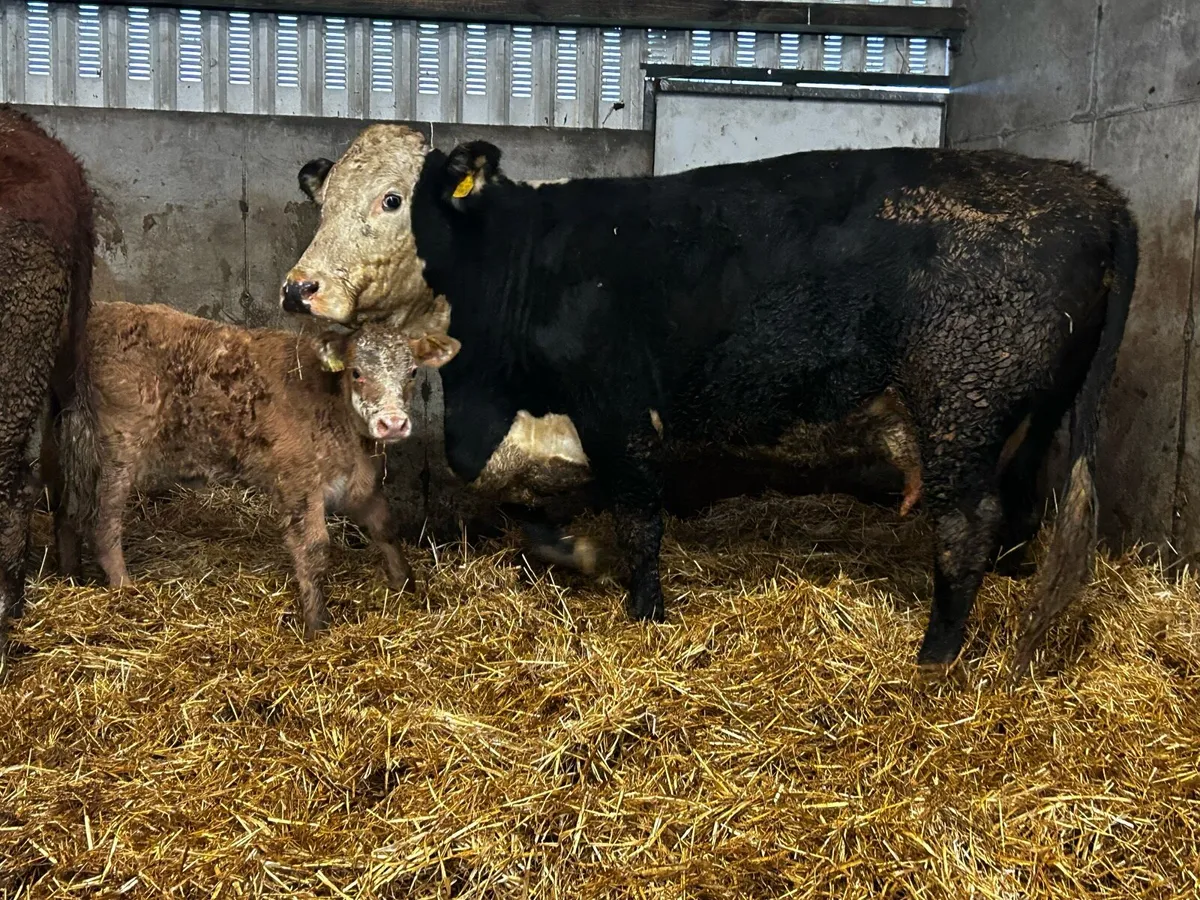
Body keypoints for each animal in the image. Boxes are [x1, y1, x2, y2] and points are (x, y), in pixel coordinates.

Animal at [47, 300, 458, 638]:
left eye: (412, 373)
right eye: (357, 372)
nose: (392, 423)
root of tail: (100, 311)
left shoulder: (361, 485)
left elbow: (387, 529)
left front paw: (410, 591)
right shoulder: (298, 484)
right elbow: (313, 549)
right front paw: (316, 628)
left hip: (73, 443)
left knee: (67, 511)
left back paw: (72, 576)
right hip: (117, 449)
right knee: (102, 522)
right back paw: (124, 589)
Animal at [283, 124, 1137, 671]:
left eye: (393, 200)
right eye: (324, 204)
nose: (300, 287)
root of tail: (1093, 188)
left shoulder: (619, 408)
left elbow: (638, 517)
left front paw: (643, 610)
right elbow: (524, 503)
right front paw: (571, 554)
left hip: (963, 403)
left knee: (966, 525)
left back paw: (936, 656)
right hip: (1031, 415)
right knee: (1019, 505)